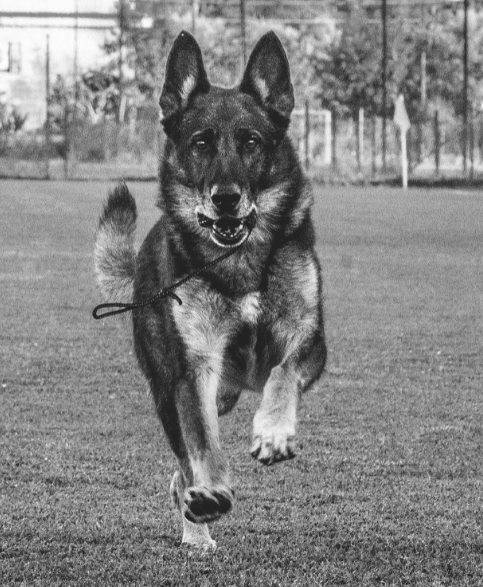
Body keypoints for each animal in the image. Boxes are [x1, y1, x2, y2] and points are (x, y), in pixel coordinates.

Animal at [93, 28, 328, 552]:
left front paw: (274, 431)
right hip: (171, 389)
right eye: (200, 144)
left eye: (251, 142)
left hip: (225, 390)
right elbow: (202, 443)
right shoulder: (193, 369)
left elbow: (283, 373)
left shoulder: (308, 341)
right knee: (183, 463)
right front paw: (214, 491)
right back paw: (197, 521)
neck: (238, 263)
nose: (225, 199)